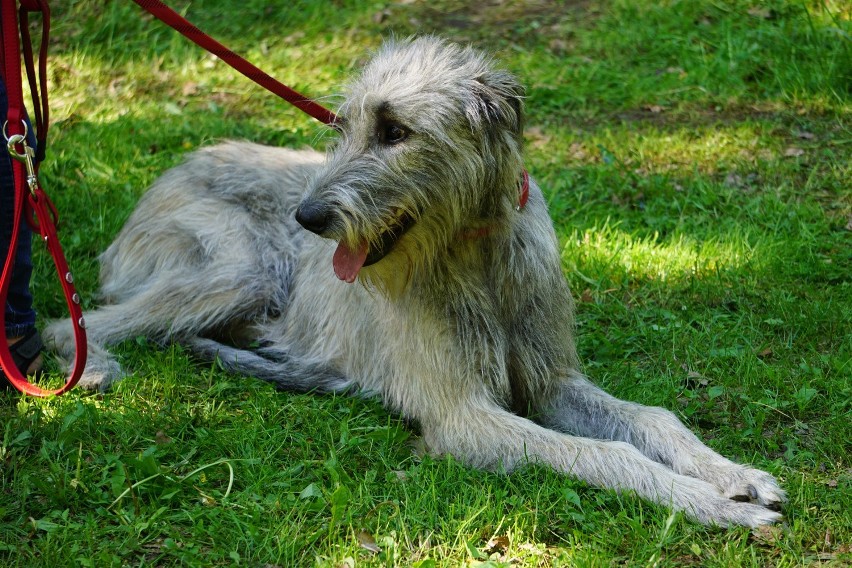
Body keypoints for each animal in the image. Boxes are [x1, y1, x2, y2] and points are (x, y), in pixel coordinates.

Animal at [46, 36, 784, 528]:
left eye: (396, 130)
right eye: (344, 126)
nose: (308, 218)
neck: (474, 252)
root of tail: (161, 178)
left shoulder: (552, 380)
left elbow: (653, 419)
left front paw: (732, 474)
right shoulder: (465, 419)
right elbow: (605, 453)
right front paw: (710, 504)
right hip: (236, 266)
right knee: (69, 324)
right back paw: (97, 365)